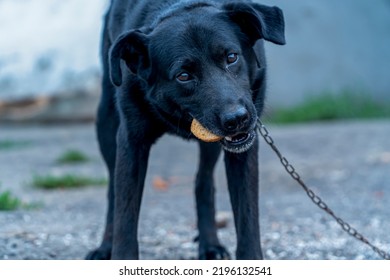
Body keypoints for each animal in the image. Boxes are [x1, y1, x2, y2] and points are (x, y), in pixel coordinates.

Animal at [87, 0, 284, 260]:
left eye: (231, 57)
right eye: (183, 76)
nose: (237, 119)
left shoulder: (243, 151)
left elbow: (247, 218)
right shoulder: (131, 140)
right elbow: (125, 217)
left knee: (203, 181)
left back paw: (210, 244)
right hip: (106, 123)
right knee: (112, 192)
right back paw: (105, 246)